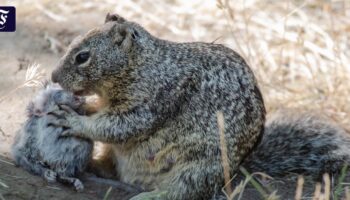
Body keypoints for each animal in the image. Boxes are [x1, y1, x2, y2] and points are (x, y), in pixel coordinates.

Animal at [50, 13, 350, 199]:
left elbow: (118, 126)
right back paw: (93, 166)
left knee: (182, 193)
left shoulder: (151, 102)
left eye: (83, 56)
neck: (143, 65)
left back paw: (149, 196)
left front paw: (74, 121)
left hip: (197, 169)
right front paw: (82, 107)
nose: (53, 77)